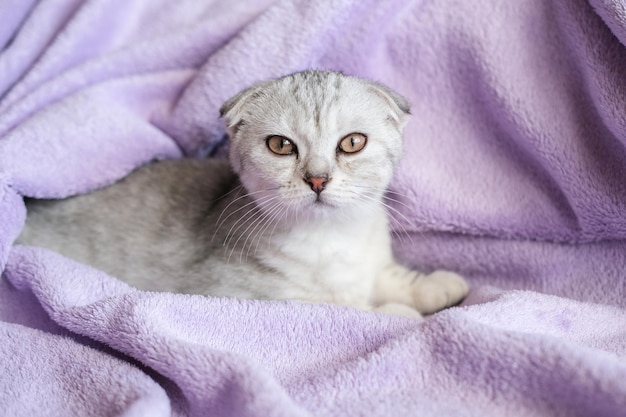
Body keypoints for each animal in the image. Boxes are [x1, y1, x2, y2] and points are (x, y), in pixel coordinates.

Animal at [17, 70, 466, 316]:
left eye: (352, 143)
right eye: (281, 145)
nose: (317, 179)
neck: (333, 240)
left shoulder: (370, 260)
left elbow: (387, 276)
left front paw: (436, 286)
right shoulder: (242, 294)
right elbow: (347, 308)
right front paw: (401, 312)